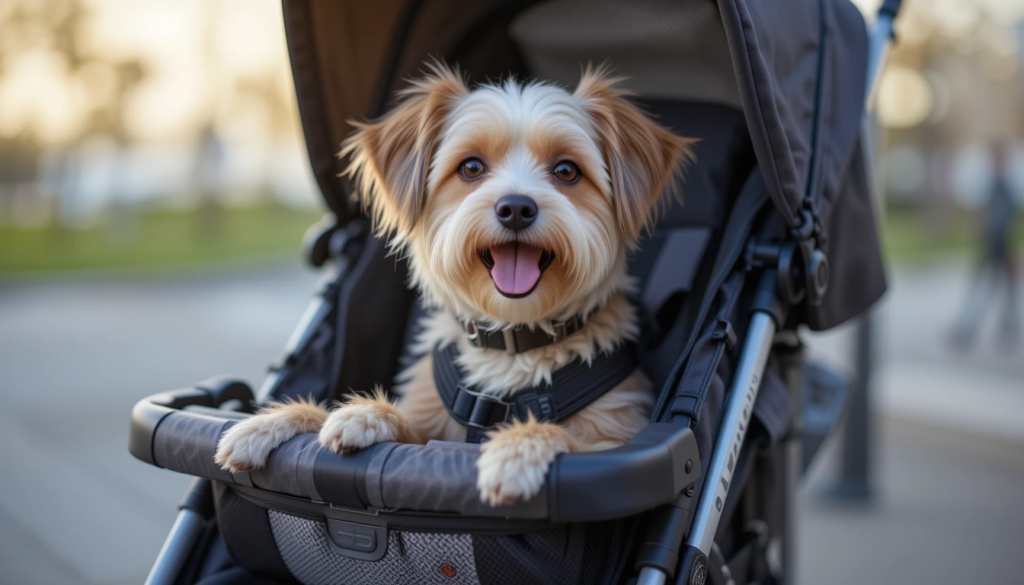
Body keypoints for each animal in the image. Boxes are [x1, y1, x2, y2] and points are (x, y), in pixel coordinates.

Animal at [215, 61, 696, 506]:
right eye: (471, 167)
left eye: (566, 171)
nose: (516, 208)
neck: (511, 342)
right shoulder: (428, 426)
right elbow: (383, 420)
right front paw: (294, 419)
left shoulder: (621, 440)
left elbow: (583, 446)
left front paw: (519, 448)